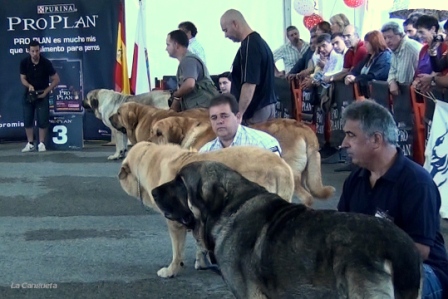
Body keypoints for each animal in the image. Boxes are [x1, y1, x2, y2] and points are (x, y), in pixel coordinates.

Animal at [117, 142, 296, 278]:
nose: (154, 193)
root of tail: (281, 167)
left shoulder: (176, 223)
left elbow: (177, 251)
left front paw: (171, 270)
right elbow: (199, 242)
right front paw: (202, 262)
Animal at [149, 116, 334, 206]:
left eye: (159, 133)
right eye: (152, 131)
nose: (147, 142)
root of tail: (305, 130)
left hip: (292, 178)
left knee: (306, 198)